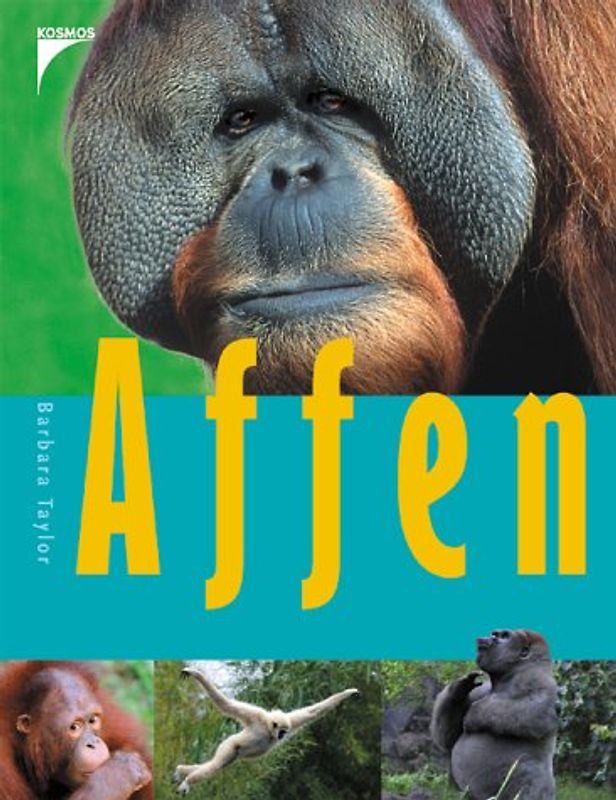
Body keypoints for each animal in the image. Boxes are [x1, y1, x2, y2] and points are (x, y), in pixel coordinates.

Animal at [172, 665, 359, 794]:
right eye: (282, 731)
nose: (283, 736)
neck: (268, 730)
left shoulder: (291, 720)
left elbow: (312, 711)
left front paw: (349, 692)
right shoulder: (256, 716)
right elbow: (226, 704)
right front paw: (195, 673)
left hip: (233, 753)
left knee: (216, 764)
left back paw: (180, 771)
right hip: (230, 746)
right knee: (216, 765)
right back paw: (187, 780)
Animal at [430, 629, 558, 800]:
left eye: (504, 635)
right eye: (494, 633)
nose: (489, 638)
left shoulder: (538, 679)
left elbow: (539, 712)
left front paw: (475, 714)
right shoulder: (481, 689)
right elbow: (448, 737)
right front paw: (458, 689)